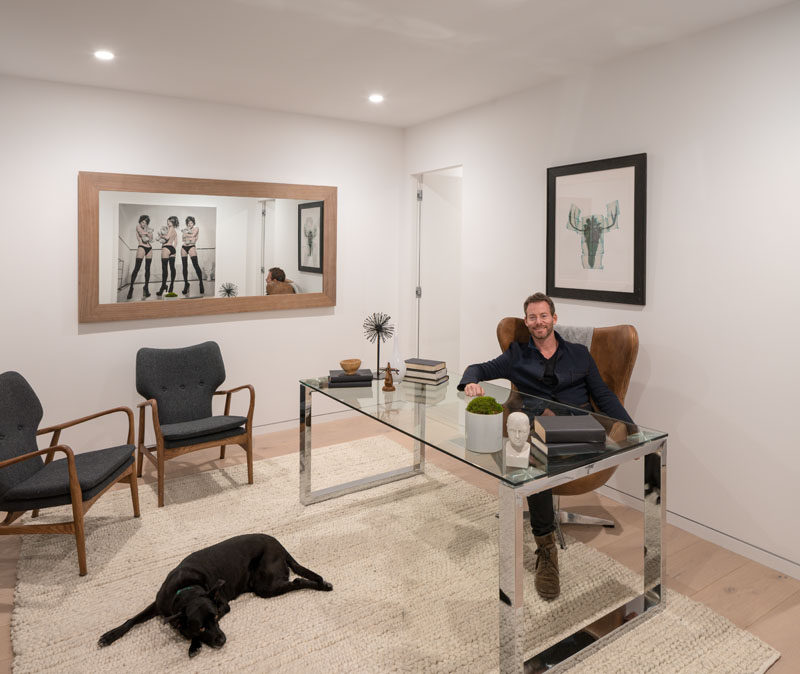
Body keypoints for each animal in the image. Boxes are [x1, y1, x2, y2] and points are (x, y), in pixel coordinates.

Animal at [97, 532, 334, 652]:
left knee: (297, 581)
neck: (186, 589)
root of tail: (280, 546)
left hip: (264, 586)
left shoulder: (223, 604)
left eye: (217, 618)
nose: (223, 640)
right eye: (201, 626)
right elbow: (132, 620)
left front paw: (192, 645)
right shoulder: (158, 604)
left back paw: (322, 585)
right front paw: (110, 635)